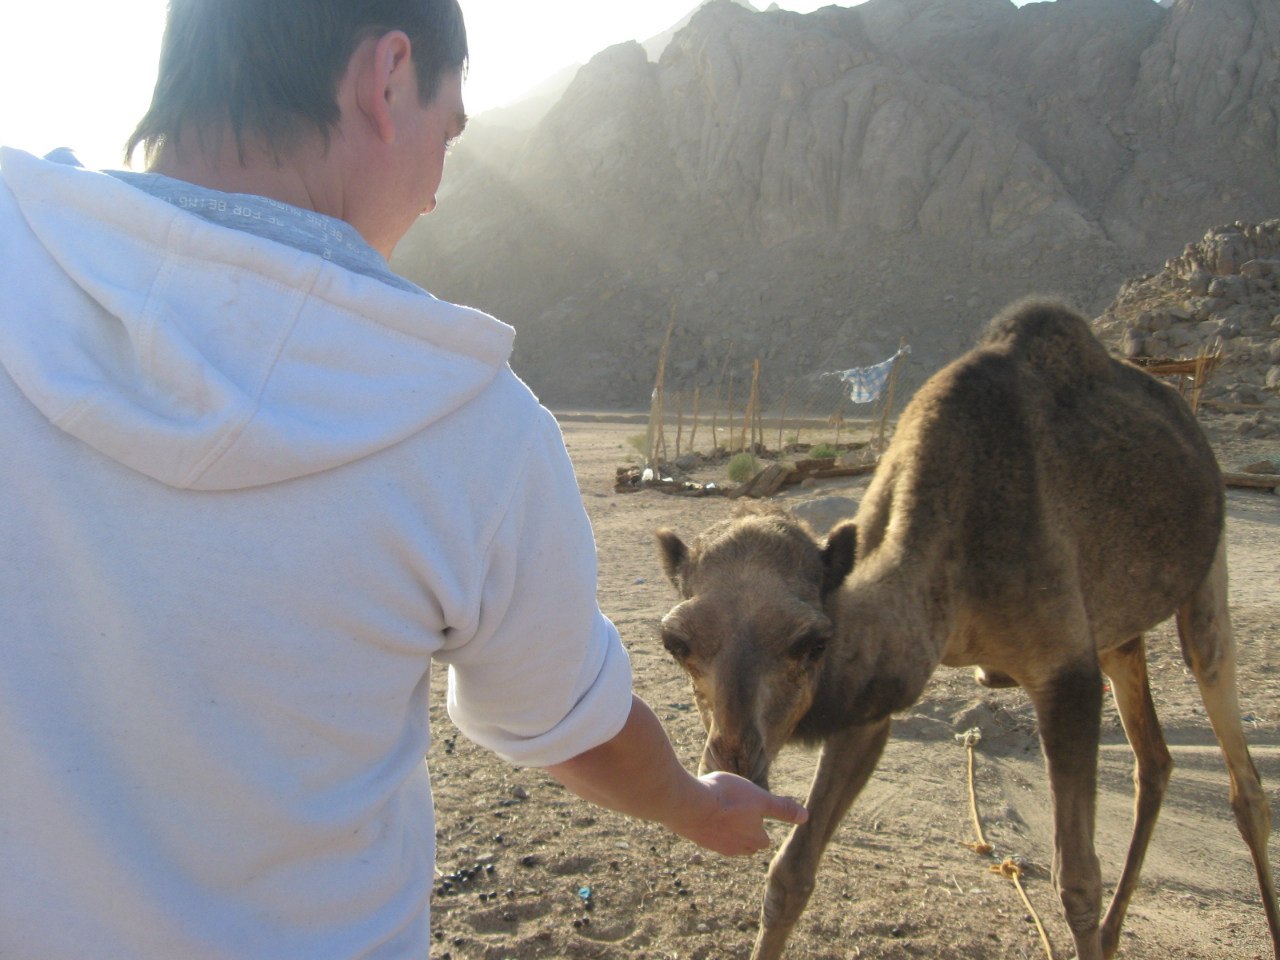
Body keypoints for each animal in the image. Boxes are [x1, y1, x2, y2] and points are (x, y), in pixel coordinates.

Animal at [655, 299, 1279, 960]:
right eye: (677, 643)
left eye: (813, 642)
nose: (733, 760)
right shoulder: (874, 696)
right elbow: (790, 875)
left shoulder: (1064, 671)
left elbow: (1077, 881)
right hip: (1116, 632)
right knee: (1153, 758)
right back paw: (1114, 935)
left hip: (1207, 569)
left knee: (1238, 762)